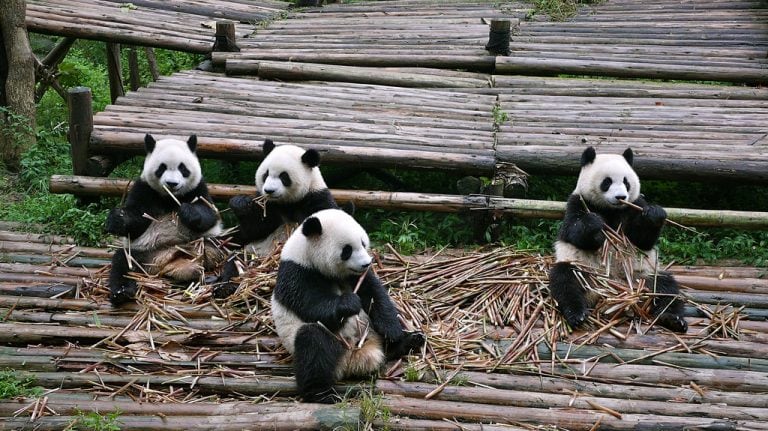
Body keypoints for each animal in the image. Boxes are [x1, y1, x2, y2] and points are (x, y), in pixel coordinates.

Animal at [103, 135, 222, 308]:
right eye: (162, 168)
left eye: (183, 168)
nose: (172, 184)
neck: (169, 198)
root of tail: (172, 258)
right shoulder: (144, 189)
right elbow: (136, 221)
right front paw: (116, 219)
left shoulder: (198, 188)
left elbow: (209, 213)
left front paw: (187, 211)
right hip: (146, 255)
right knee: (123, 263)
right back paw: (121, 293)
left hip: (208, 246)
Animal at [214, 140, 338, 298]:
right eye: (265, 174)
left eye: (284, 177)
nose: (269, 190)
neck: (288, 203)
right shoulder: (269, 207)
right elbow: (254, 228)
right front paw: (241, 203)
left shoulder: (315, 200)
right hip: (251, 250)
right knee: (235, 257)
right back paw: (226, 286)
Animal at [272, 209, 426, 404]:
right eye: (347, 250)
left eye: (363, 242)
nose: (366, 263)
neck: (306, 254)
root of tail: (357, 359)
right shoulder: (297, 273)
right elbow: (313, 305)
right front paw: (349, 303)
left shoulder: (357, 276)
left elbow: (375, 295)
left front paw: (392, 330)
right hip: (324, 341)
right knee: (313, 344)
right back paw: (321, 394)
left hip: (370, 331)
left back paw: (408, 340)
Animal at [548, 148, 688, 334]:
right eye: (607, 182)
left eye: (626, 182)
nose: (621, 196)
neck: (611, 210)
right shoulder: (578, 202)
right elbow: (574, 232)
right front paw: (595, 223)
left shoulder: (634, 206)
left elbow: (643, 240)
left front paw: (654, 214)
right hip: (585, 271)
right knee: (565, 280)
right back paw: (577, 314)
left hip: (643, 276)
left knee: (665, 288)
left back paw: (673, 319)